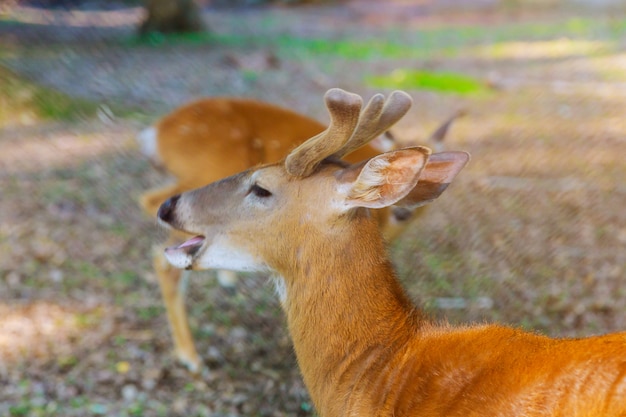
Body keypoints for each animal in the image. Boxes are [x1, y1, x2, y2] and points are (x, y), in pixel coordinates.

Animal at [135, 92, 458, 368]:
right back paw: (191, 357)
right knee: (158, 243)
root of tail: (156, 131)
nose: (170, 208)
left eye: (260, 188)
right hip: (209, 167)